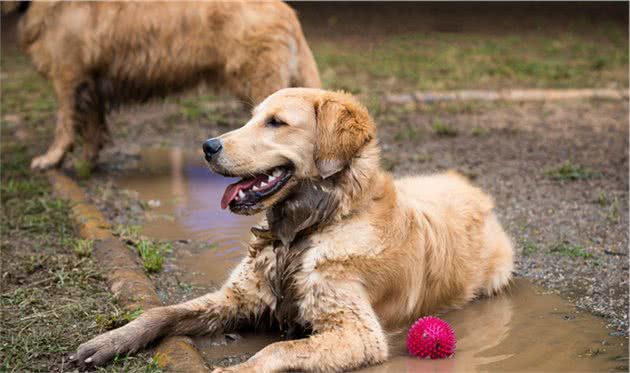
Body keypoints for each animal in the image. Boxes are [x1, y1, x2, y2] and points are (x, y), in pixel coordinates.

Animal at [9, 0, 324, 169]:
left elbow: (65, 122)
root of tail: (286, 12)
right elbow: (92, 125)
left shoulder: (68, 76)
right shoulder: (91, 81)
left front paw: (51, 159)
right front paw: (88, 163)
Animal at [73, 88, 512, 370]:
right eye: (251, 118)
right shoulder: (236, 298)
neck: (306, 231)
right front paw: (109, 342)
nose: (208, 146)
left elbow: (275, 351)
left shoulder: (359, 332)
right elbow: (160, 312)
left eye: (276, 122)